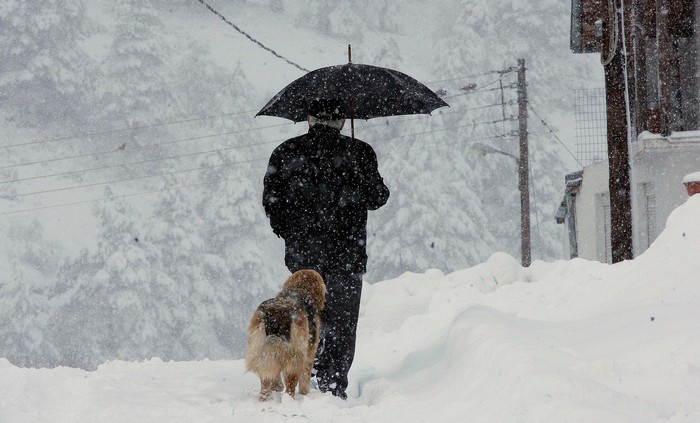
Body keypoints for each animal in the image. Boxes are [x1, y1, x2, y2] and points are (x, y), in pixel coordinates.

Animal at [245, 272, 326, 400]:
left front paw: (277, 386)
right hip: (295, 354)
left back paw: (267, 394)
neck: (299, 289)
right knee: (290, 384)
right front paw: (304, 392)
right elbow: (305, 376)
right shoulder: (309, 352)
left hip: (260, 347)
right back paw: (290, 399)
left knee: (266, 377)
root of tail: (277, 313)